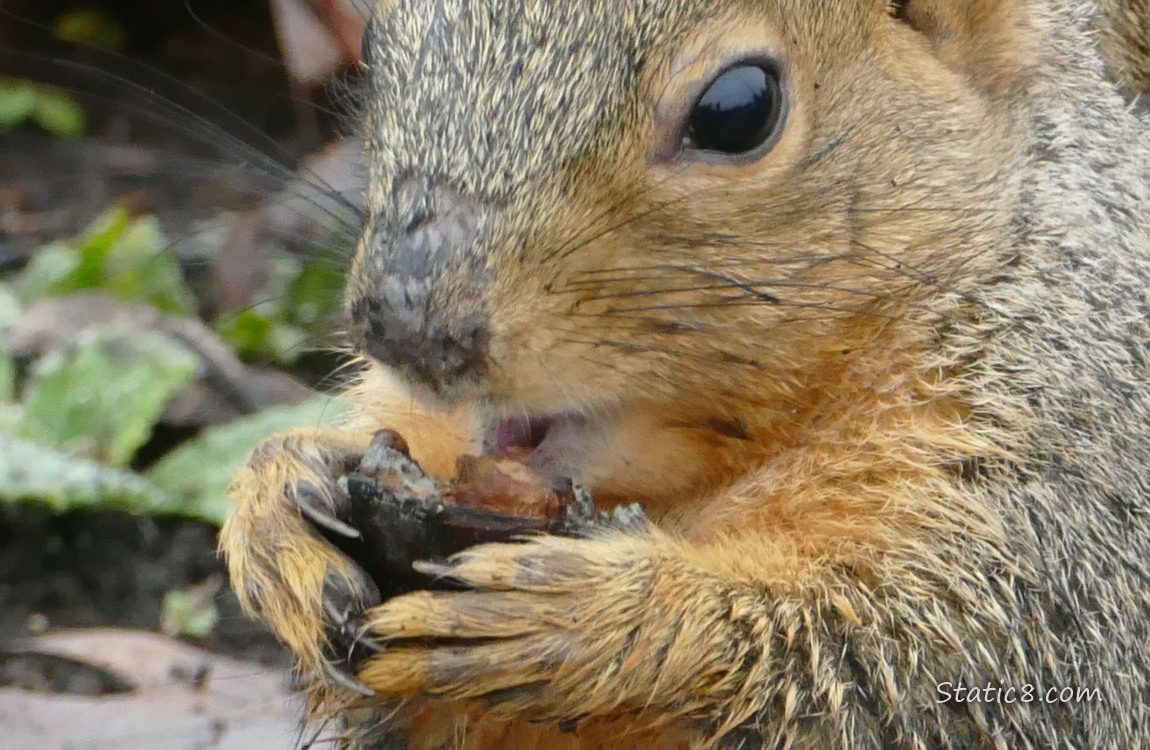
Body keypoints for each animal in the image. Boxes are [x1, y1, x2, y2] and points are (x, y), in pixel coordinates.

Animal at [219, 0, 1145, 745]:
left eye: (739, 110)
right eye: (376, 40)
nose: (403, 320)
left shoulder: (1065, 500)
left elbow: (925, 679)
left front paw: (603, 619)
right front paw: (280, 503)